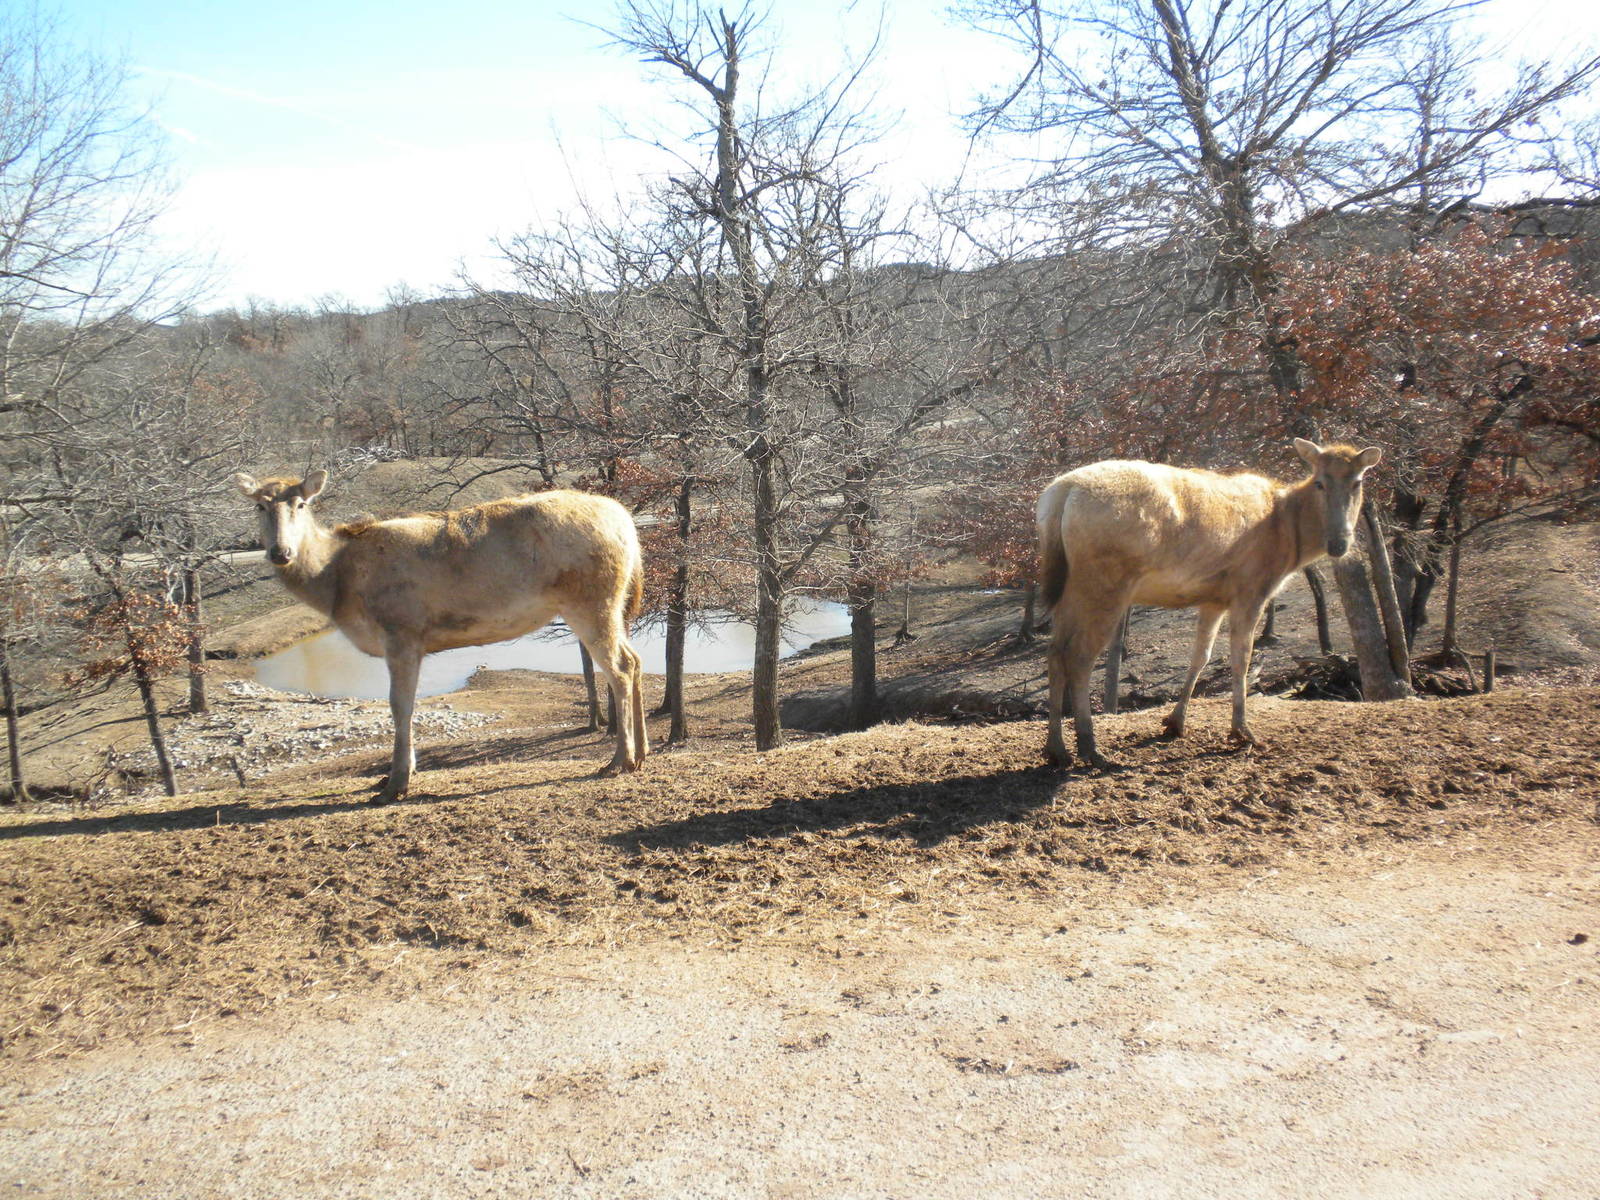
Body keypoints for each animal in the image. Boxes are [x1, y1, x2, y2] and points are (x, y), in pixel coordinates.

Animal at [234, 470, 648, 801]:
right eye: (258, 506)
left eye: (301, 503)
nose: (280, 552)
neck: (336, 584)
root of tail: (626, 522)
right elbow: (408, 704)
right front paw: (399, 774)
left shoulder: (401, 631)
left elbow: (399, 705)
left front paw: (396, 782)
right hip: (613, 604)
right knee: (636, 659)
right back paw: (642, 751)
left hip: (590, 600)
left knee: (620, 667)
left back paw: (620, 760)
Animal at [1034, 437, 1382, 770]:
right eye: (1320, 482)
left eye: (1357, 482)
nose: (1339, 543)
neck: (1292, 541)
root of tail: (1060, 494)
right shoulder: (1250, 588)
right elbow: (1242, 658)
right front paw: (1242, 731)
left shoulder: (1213, 598)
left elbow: (1200, 656)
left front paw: (1175, 723)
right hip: (1106, 583)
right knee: (1079, 656)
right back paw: (1089, 748)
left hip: (1068, 585)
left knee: (1055, 649)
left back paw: (1056, 750)